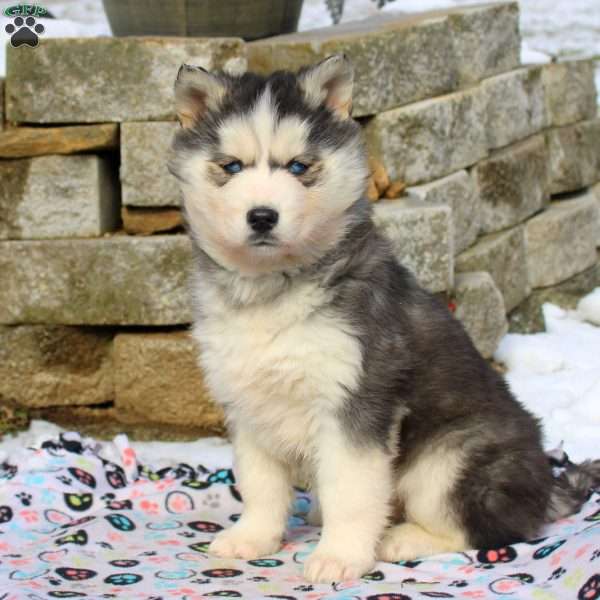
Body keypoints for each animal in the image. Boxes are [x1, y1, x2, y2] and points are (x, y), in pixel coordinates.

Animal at [168, 55, 600, 580]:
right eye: (231, 166)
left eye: (299, 167)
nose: (263, 216)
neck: (271, 289)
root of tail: (544, 485)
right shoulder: (248, 403)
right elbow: (260, 483)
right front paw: (252, 537)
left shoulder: (357, 398)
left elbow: (350, 492)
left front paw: (338, 556)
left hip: (451, 457)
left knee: (486, 527)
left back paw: (401, 538)